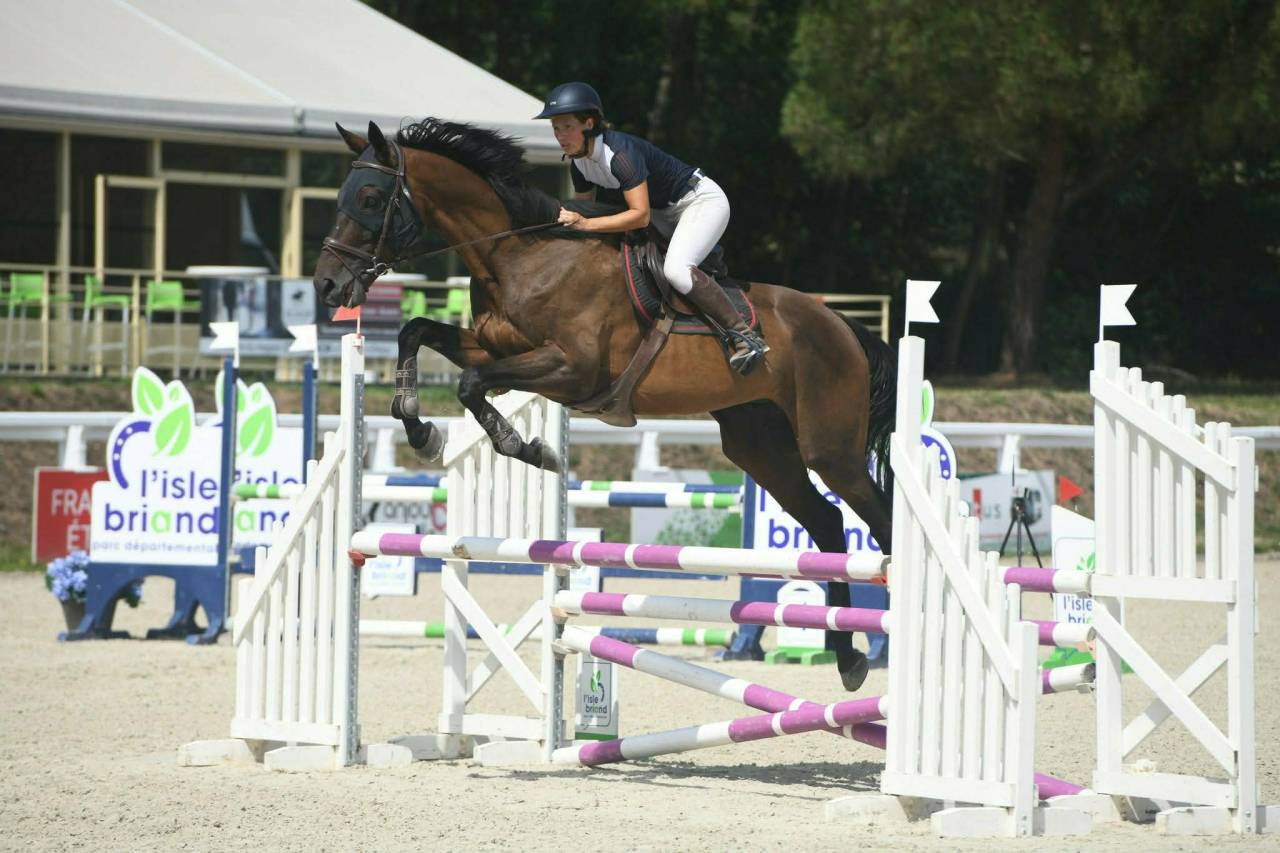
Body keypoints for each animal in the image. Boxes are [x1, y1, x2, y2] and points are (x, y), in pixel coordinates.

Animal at [313, 118, 896, 692]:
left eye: (370, 197)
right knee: (826, 521)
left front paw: (525, 446)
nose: (327, 284)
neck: (518, 256)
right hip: (760, 445)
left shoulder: (571, 369)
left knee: (875, 516)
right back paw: (848, 658)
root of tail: (841, 323)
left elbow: (471, 384)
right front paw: (422, 430)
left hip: (829, 449)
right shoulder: (494, 346)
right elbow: (416, 333)